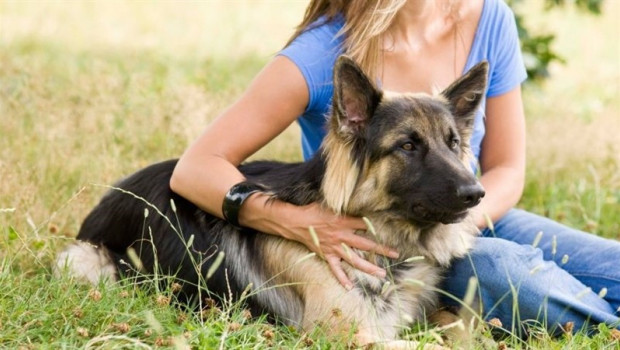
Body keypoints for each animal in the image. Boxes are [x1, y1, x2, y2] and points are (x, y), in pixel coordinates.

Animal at [54, 56, 490, 348]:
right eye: (407, 146)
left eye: (453, 143)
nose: (476, 194)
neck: (380, 235)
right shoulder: (348, 335)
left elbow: (457, 322)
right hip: (86, 262)